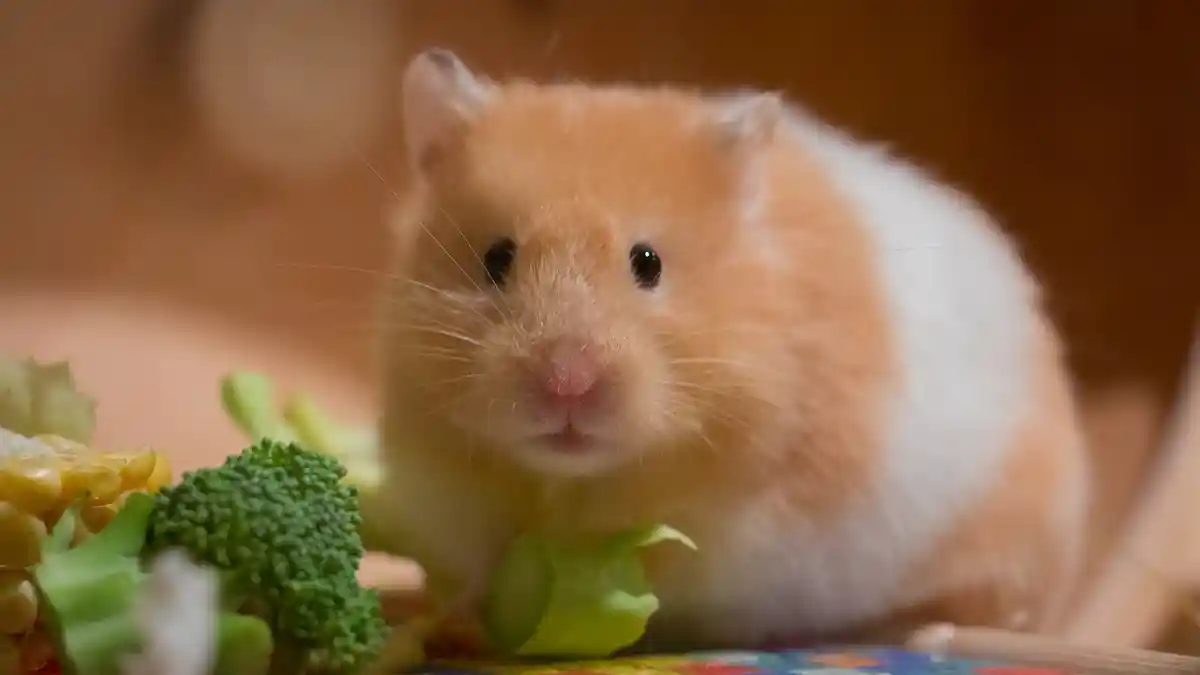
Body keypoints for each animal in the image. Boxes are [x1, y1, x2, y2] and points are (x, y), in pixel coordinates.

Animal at [372, 48, 1091, 650]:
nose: (567, 384)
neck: (571, 481)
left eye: (647, 262)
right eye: (496, 258)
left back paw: (921, 631)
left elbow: (664, 558)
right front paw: (466, 614)